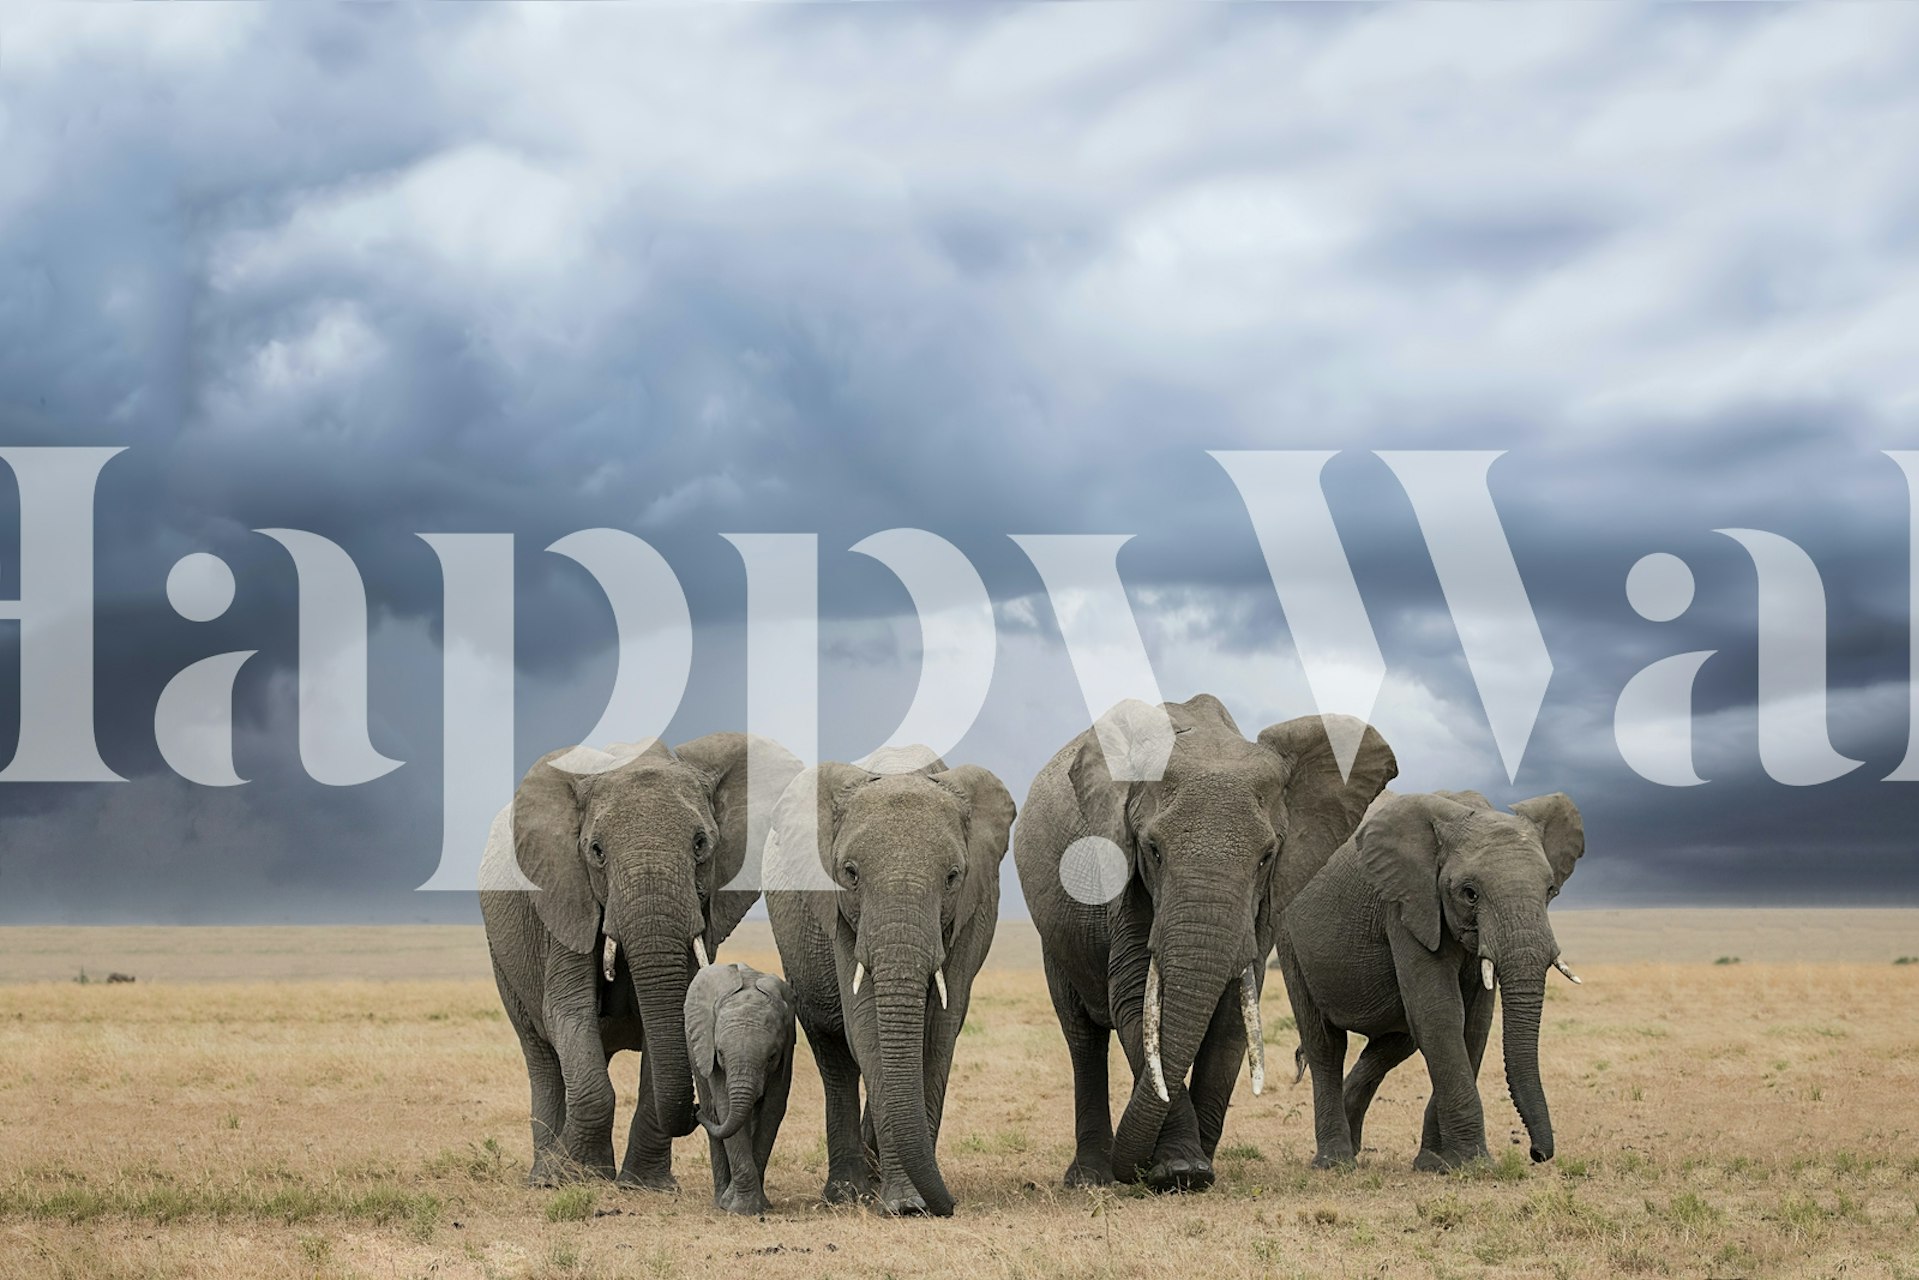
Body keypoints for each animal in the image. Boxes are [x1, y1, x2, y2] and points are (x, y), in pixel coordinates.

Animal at [481, 733, 801, 1188]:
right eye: (596, 851)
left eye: (701, 844)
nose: (698, 1111)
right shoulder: (566, 896)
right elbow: (568, 1012)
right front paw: (572, 1178)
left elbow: (675, 1017)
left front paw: (645, 1186)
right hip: (503, 955)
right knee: (541, 1055)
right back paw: (547, 1175)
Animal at [685, 961, 797, 1215]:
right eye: (720, 1054)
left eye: (771, 1057)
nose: (693, 1110)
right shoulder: (711, 1053)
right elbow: (726, 1108)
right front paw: (738, 1207)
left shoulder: (787, 1050)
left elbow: (773, 1110)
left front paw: (755, 1207)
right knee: (715, 1113)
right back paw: (719, 1200)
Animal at [765, 749, 1015, 1216]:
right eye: (850, 874)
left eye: (953, 877)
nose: (950, 1203)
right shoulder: (840, 916)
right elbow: (867, 1029)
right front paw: (905, 1204)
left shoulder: (973, 910)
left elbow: (938, 1032)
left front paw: (913, 1202)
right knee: (833, 1052)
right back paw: (846, 1193)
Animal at [1016, 695, 1398, 1192]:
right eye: (1153, 850)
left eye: (1266, 856)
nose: (1131, 1170)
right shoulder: (1124, 883)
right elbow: (1136, 1000)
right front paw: (1182, 1170)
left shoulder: (1264, 905)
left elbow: (1233, 1011)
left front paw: (1194, 1166)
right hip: (1056, 932)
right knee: (1082, 1036)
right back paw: (1089, 1179)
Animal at [1273, 789, 1585, 1172]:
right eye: (1469, 893)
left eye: (1550, 890)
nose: (1537, 1154)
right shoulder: (1406, 904)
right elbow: (1440, 1013)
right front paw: (1475, 1164)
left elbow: (1473, 1024)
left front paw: (1436, 1163)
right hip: (1288, 937)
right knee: (1325, 1044)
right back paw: (1336, 1162)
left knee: (1395, 1043)